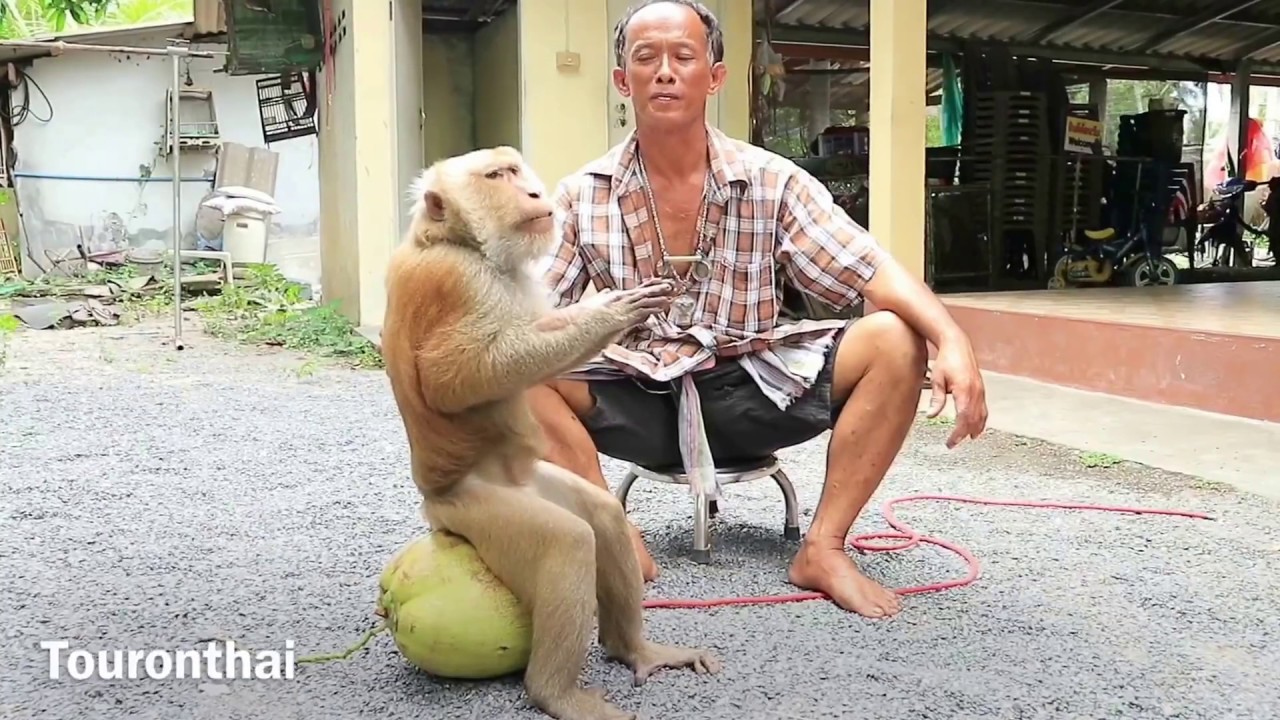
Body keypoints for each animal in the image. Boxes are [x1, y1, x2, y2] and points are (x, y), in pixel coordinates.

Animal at [380, 146, 722, 720]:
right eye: (497, 176)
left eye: (515, 170)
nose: (535, 193)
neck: (454, 241)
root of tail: (436, 507)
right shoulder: (459, 280)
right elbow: (459, 379)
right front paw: (613, 314)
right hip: (478, 510)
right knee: (567, 543)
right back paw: (554, 693)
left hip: (535, 484)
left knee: (602, 517)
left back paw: (634, 649)